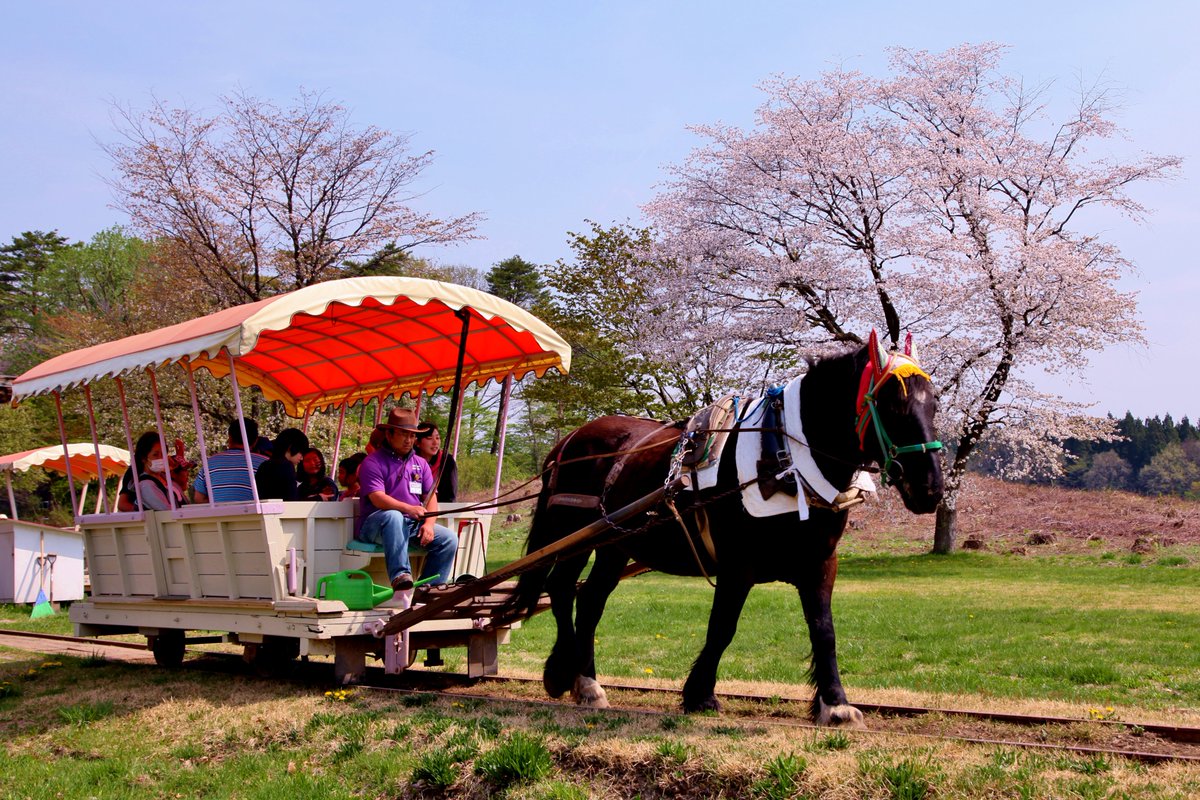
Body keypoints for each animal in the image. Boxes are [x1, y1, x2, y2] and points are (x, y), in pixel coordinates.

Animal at [506, 338, 945, 724]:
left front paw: (834, 704)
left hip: (616, 544)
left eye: (935, 403)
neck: (785, 460)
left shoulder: (820, 562)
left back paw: (587, 681)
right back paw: (566, 673)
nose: (930, 488)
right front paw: (700, 694)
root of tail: (569, 439)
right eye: (891, 403)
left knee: (591, 600)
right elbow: (722, 628)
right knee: (562, 589)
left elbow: (824, 631)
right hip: (573, 534)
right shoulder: (738, 565)